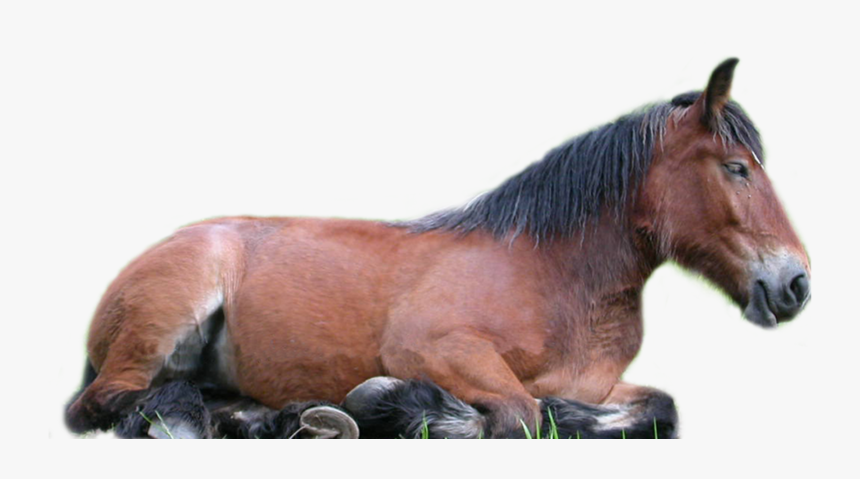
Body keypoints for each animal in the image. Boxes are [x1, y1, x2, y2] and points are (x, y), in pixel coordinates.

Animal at [65, 58, 810, 439]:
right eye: (737, 169)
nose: (797, 283)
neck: (551, 275)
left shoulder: (601, 383)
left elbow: (659, 405)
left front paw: (573, 414)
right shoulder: (431, 348)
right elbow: (517, 414)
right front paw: (408, 407)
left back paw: (281, 416)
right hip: (164, 320)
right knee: (106, 403)